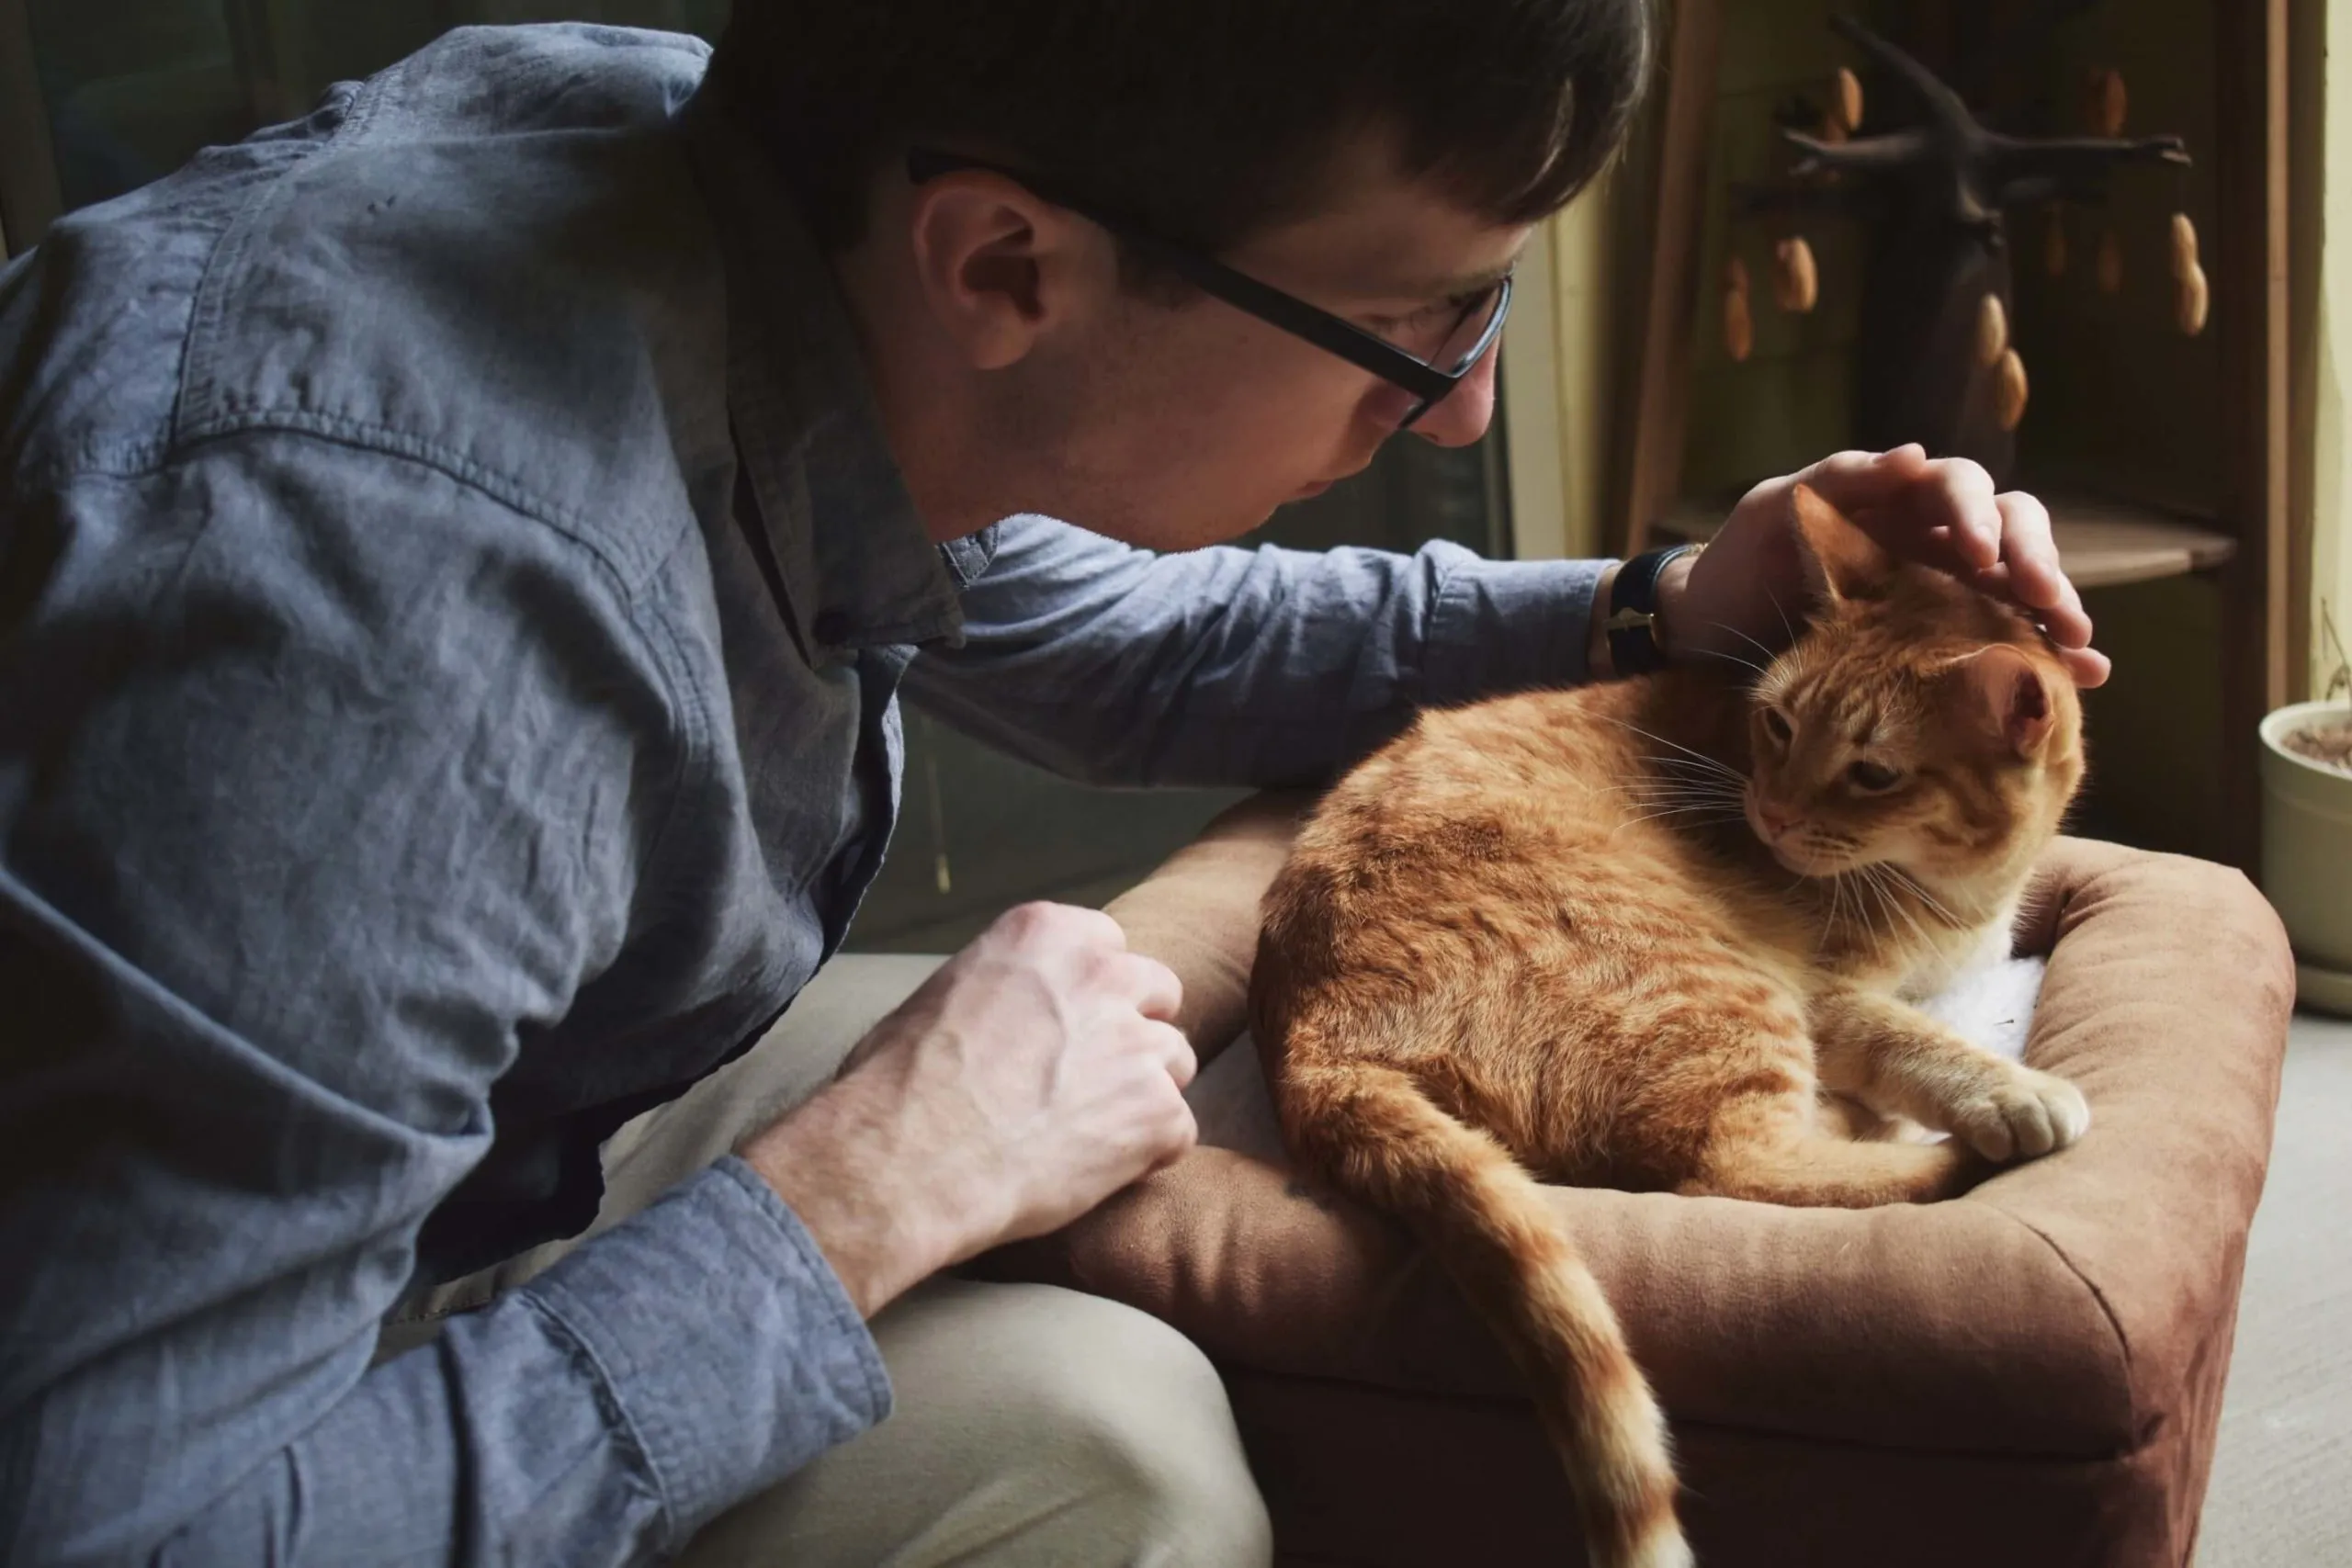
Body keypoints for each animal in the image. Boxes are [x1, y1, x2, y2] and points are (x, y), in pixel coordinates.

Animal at [1261, 484, 2088, 1561]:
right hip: (1727, 994)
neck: (1955, 891)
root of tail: (1305, 1038)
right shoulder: (1828, 997)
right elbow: (1914, 1042)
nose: (1770, 814)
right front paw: (2007, 1092)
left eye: (1873, 774)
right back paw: (1935, 1150)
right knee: (1728, 1167)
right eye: (1777, 723)